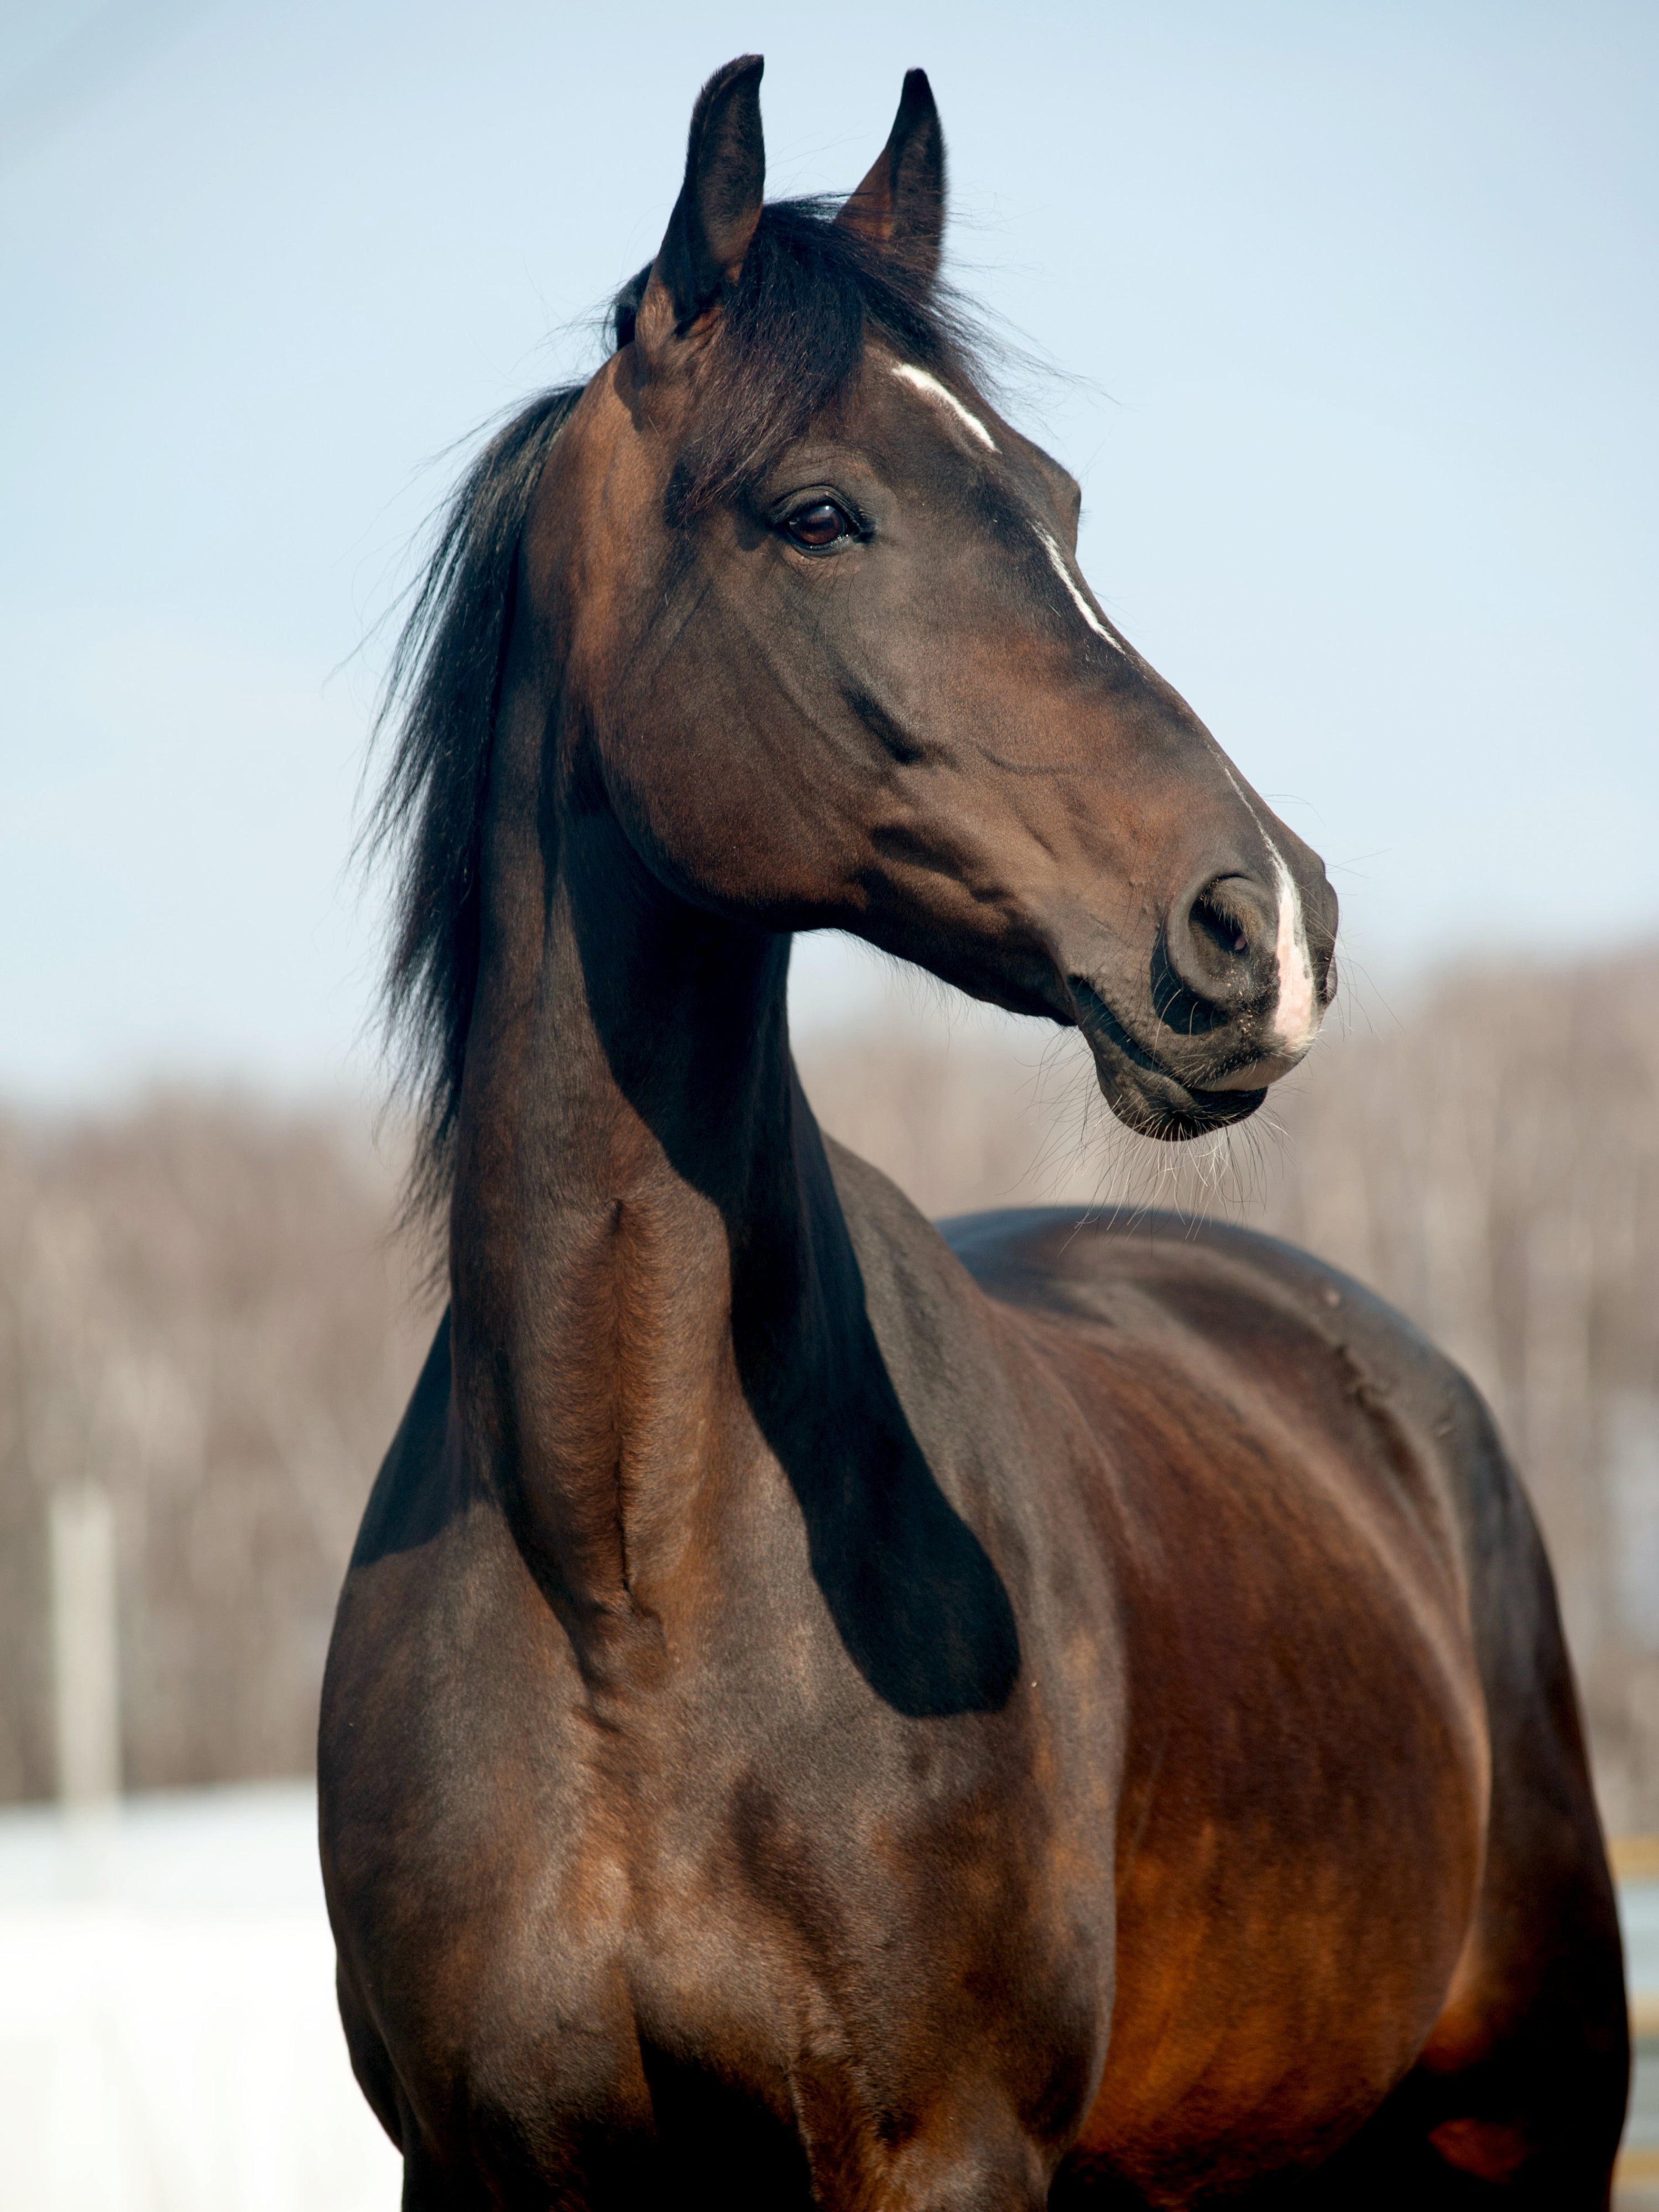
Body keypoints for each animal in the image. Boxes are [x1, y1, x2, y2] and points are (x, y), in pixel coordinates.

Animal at [319, 56, 1628, 2209]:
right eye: (819, 512)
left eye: (1059, 502)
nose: (1264, 927)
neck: (619, 1577)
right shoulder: (490, 2165)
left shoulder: (939, 2149)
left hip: (1518, 2131)